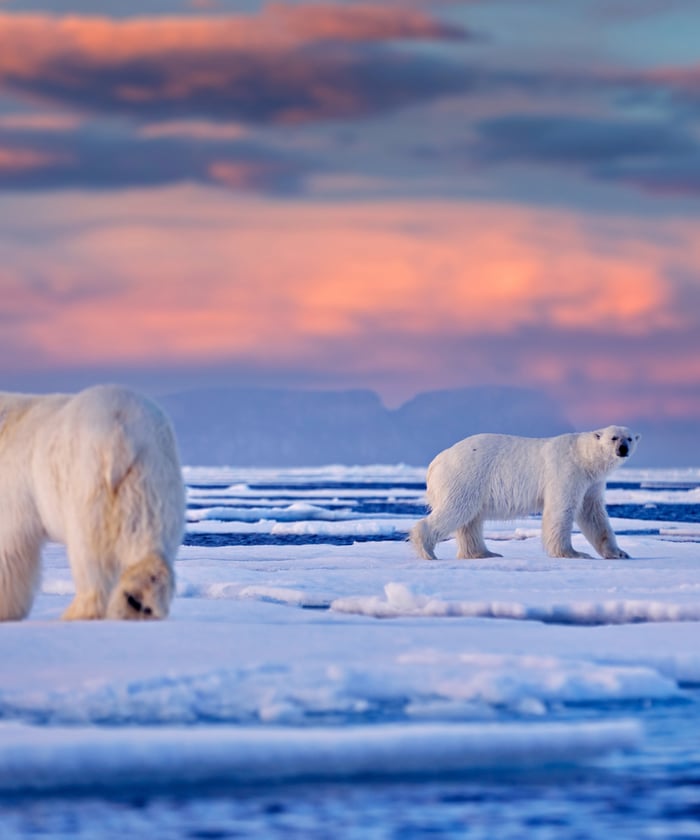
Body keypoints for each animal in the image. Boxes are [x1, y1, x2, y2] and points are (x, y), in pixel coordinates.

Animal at [0, 384, 185, 621]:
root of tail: (120, 430)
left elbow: (10, 547)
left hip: (85, 481)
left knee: (89, 555)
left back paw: (76, 613)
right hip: (152, 476)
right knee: (147, 536)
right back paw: (137, 603)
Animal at [410, 426, 640, 561]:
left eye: (630, 438)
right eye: (614, 438)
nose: (623, 449)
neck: (582, 456)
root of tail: (436, 462)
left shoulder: (591, 483)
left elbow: (593, 515)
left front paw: (619, 553)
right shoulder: (566, 471)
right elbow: (561, 510)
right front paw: (573, 553)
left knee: (470, 520)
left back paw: (484, 553)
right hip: (465, 476)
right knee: (457, 510)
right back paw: (427, 551)